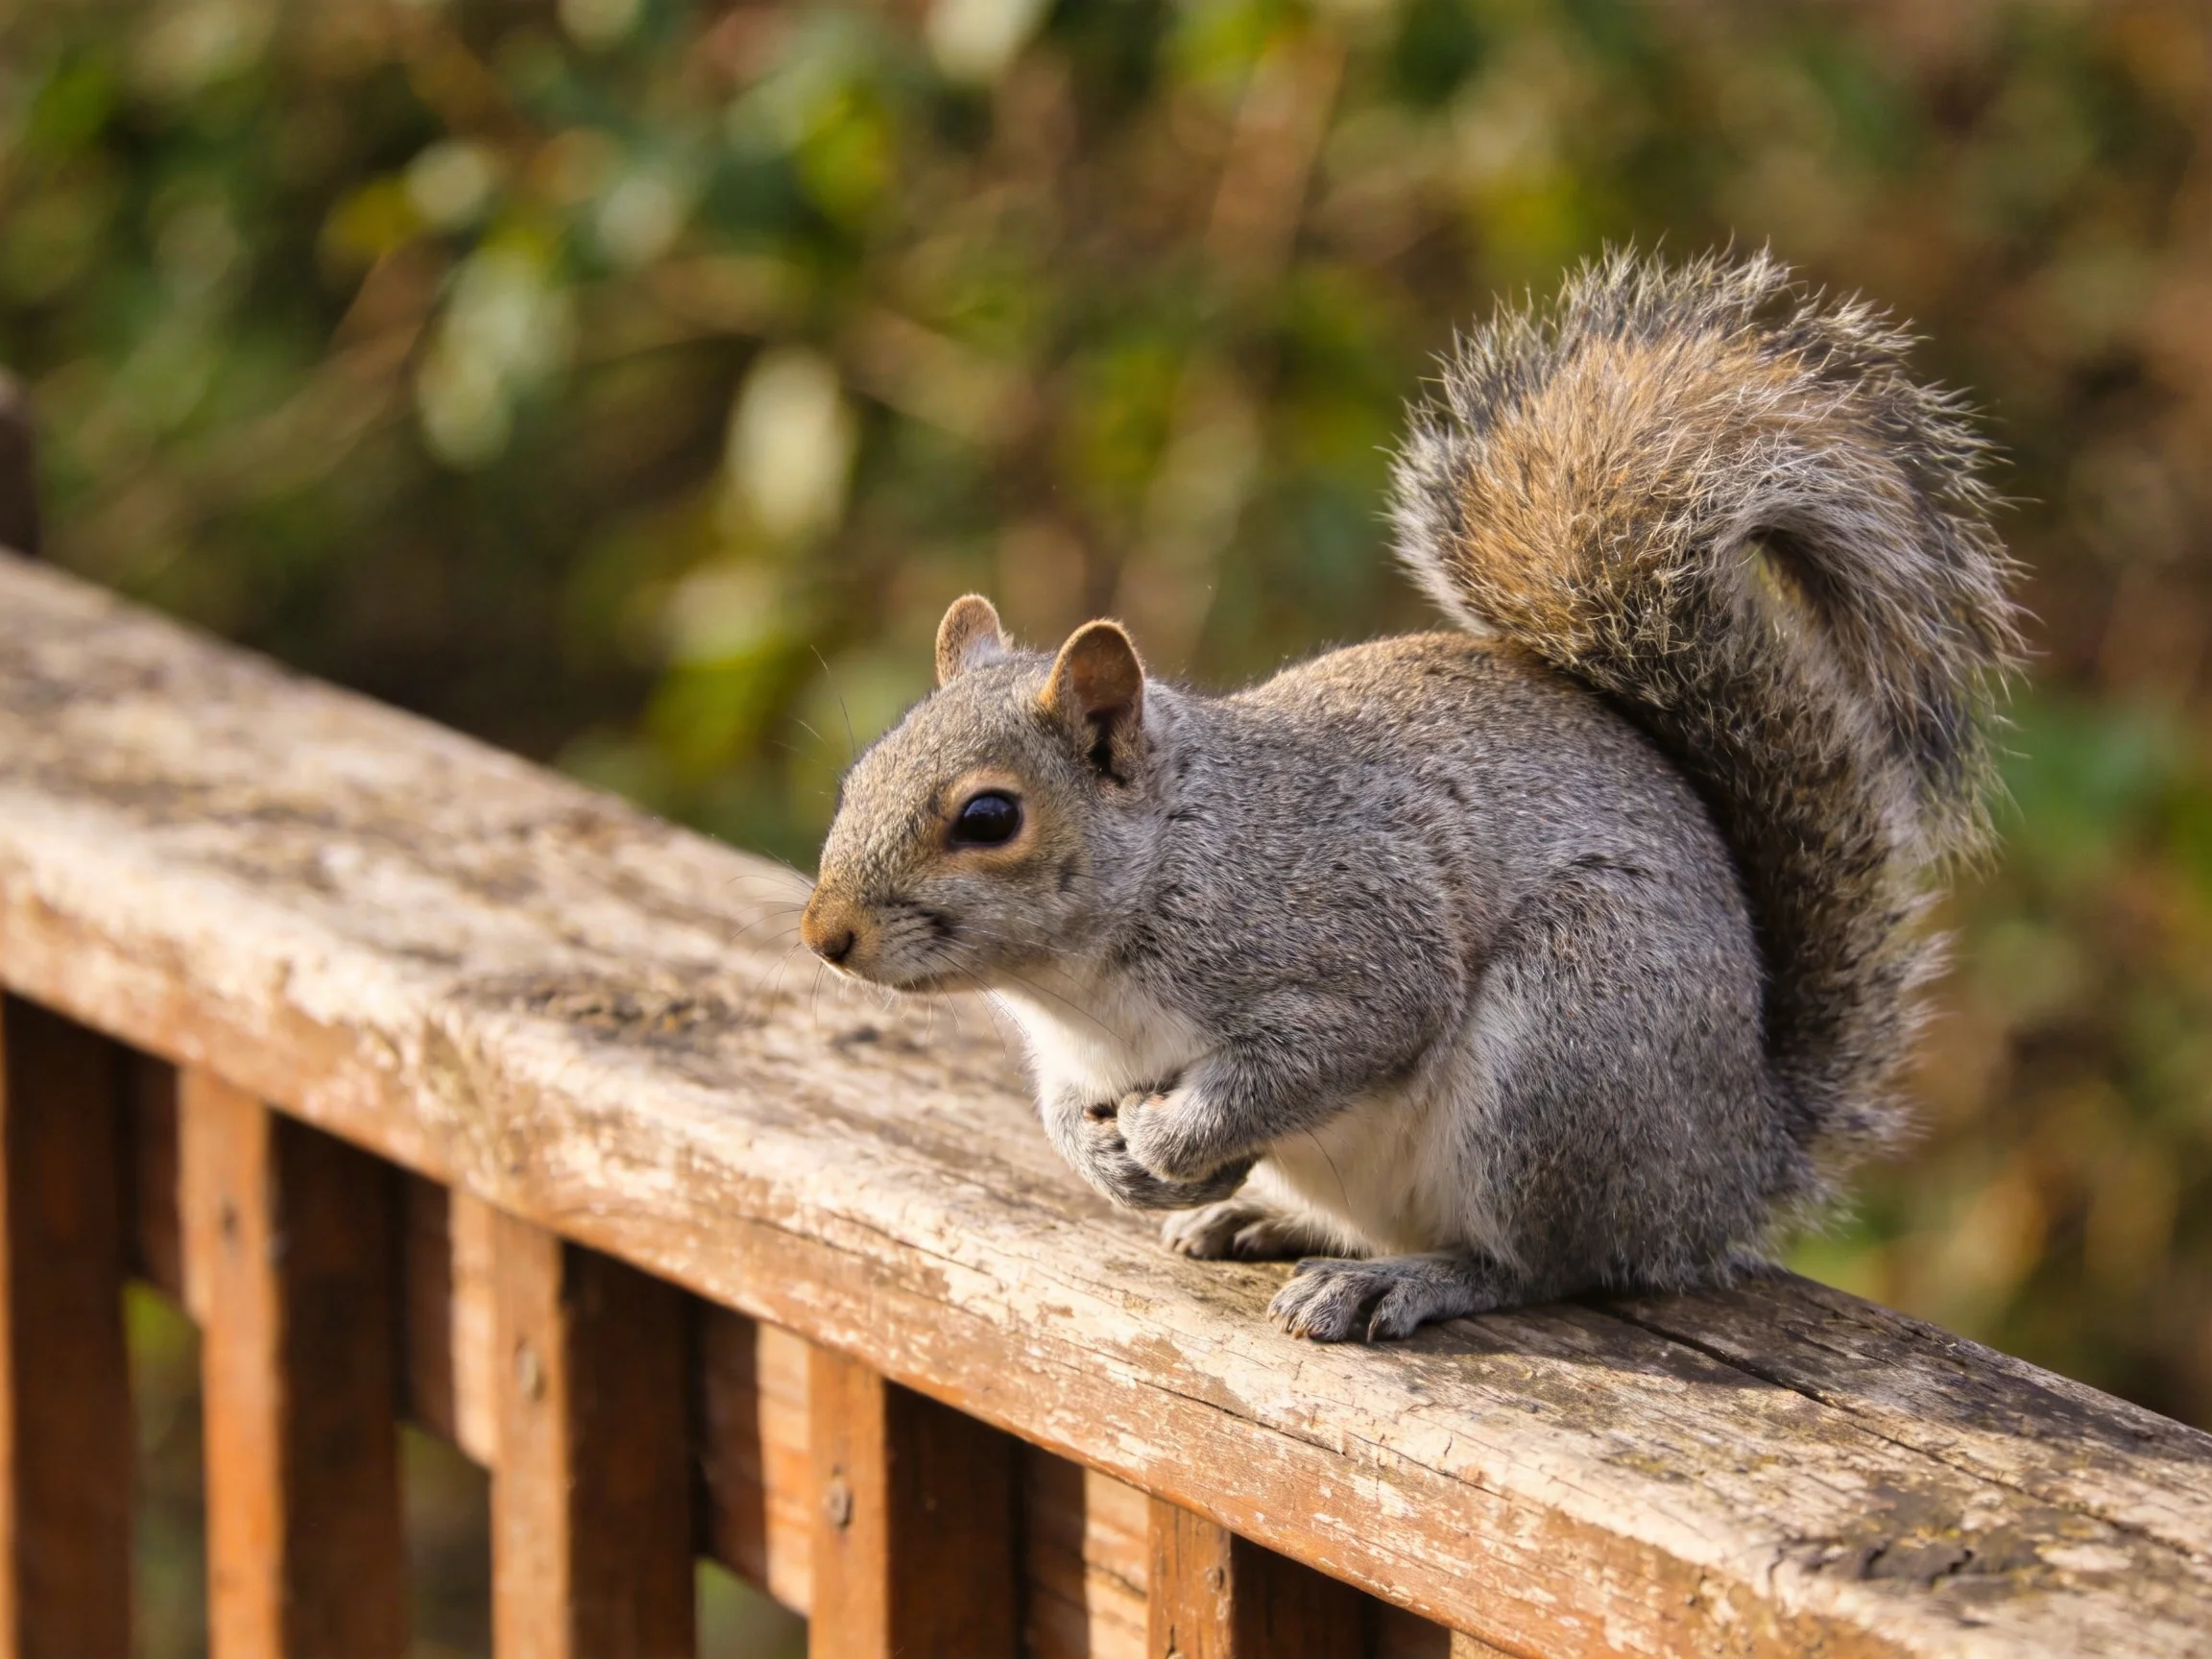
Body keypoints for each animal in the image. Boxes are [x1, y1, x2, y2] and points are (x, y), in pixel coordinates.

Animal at [799, 251, 2022, 1342]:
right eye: (858, 775)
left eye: (989, 818)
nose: (825, 935)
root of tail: (1730, 1167)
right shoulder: (1067, 1051)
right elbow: (1060, 1107)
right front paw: (1103, 1157)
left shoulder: (1357, 941)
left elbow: (1334, 1044)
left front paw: (1171, 1142)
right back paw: (1260, 1221)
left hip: (1564, 1057)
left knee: (1547, 1265)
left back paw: (1401, 1279)